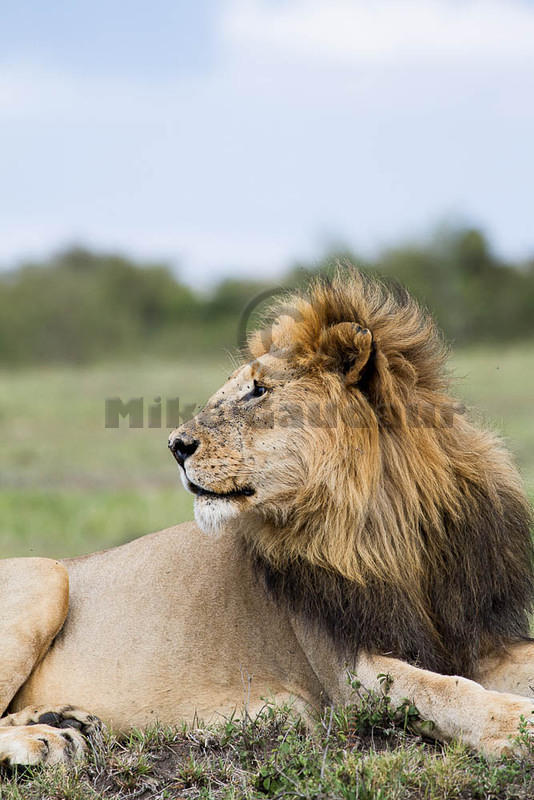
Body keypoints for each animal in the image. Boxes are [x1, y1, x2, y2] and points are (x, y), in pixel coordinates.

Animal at [1, 268, 534, 764]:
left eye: (258, 391)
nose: (175, 446)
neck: (385, 527)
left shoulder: (476, 635)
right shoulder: (346, 670)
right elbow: (440, 691)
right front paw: (517, 725)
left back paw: (64, 719)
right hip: (47, 574)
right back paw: (46, 739)